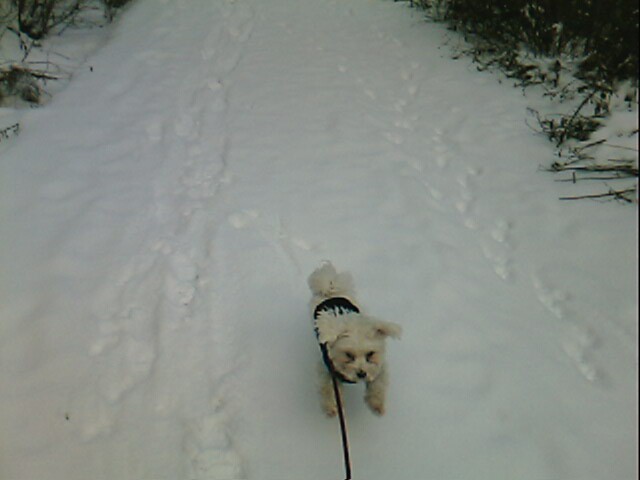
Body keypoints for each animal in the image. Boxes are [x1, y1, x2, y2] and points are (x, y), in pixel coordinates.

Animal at [306, 262, 400, 416]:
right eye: (348, 355)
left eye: (370, 354)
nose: (361, 374)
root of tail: (332, 291)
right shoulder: (327, 369)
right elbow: (328, 388)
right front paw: (332, 407)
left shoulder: (378, 367)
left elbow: (378, 383)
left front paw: (376, 403)